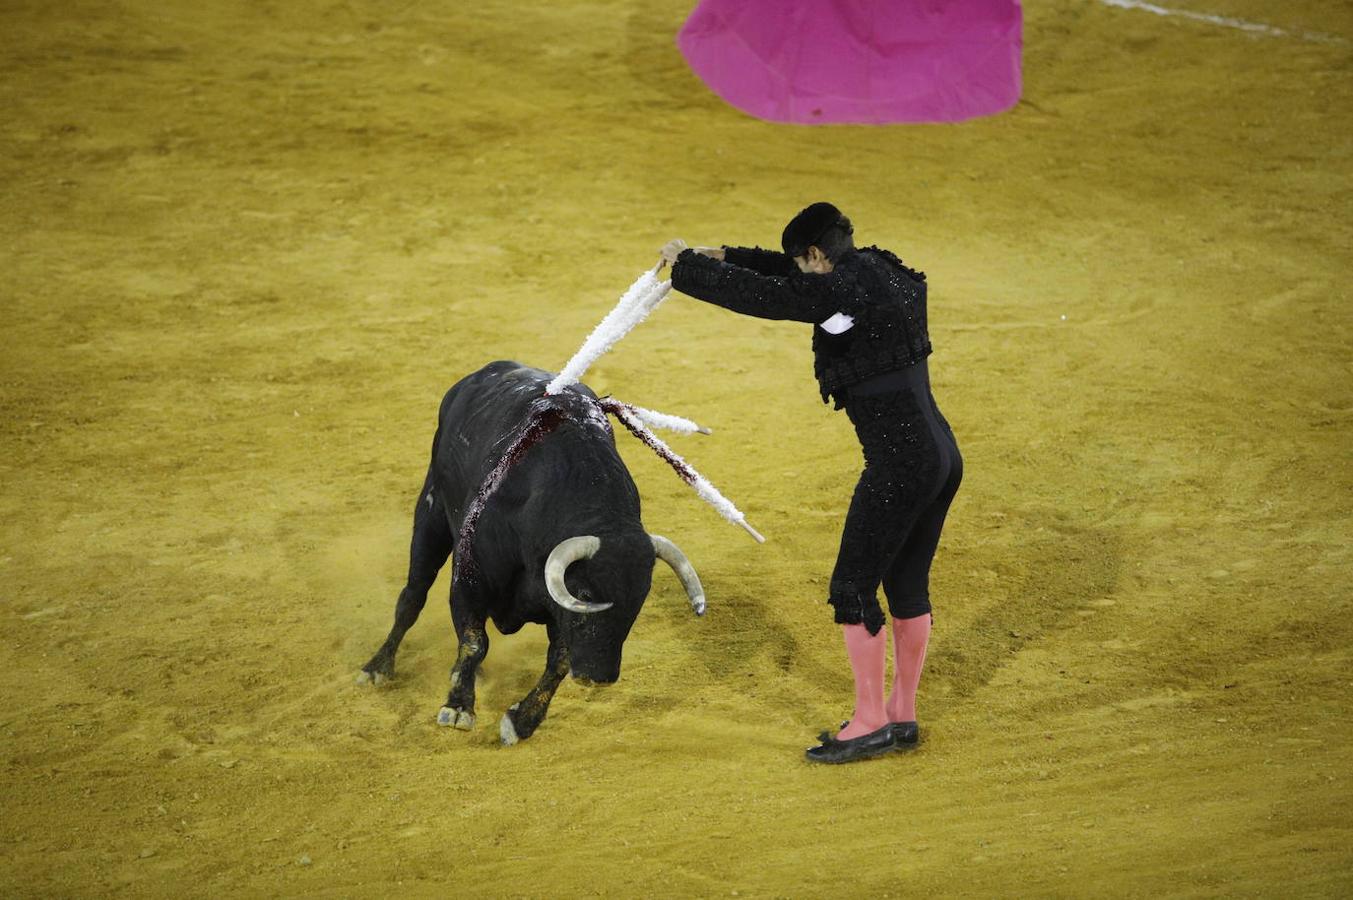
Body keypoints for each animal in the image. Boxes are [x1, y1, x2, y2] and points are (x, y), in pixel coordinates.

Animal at [354, 357, 703, 741]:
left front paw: (521, 721)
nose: (598, 677)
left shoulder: (558, 611)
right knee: (412, 597)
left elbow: (558, 661)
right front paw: (458, 707)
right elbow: (475, 642)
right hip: (431, 513)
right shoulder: (469, 580)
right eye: (584, 593)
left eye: (640, 599)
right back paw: (377, 667)